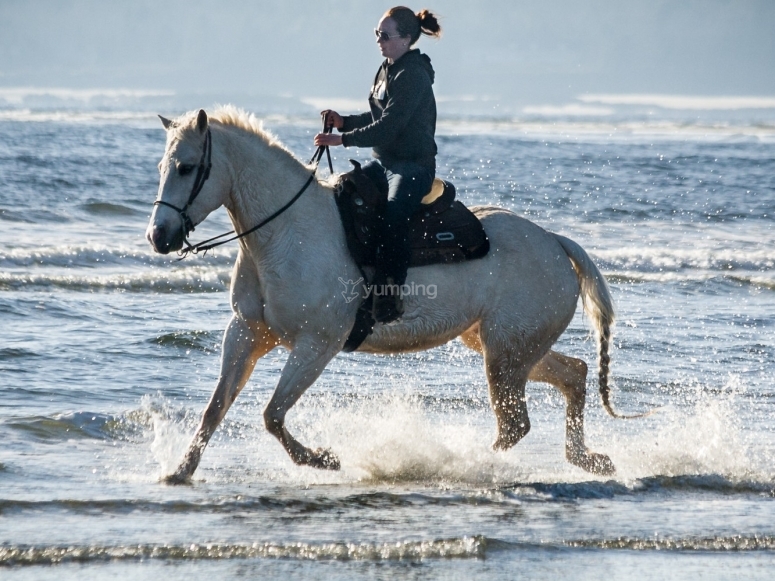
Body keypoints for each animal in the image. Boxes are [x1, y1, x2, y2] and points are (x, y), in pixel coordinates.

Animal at [146, 106, 622, 484]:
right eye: (161, 168)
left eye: (187, 167)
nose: (159, 237)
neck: (285, 234)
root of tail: (554, 242)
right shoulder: (246, 334)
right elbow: (216, 409)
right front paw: (179, 472)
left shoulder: (316, 345)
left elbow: (273, 415)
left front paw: (323, 459)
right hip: (507, 346)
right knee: (574, 374)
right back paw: (591, 459)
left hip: (506, 356)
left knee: (514, 425)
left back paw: (452, 464)